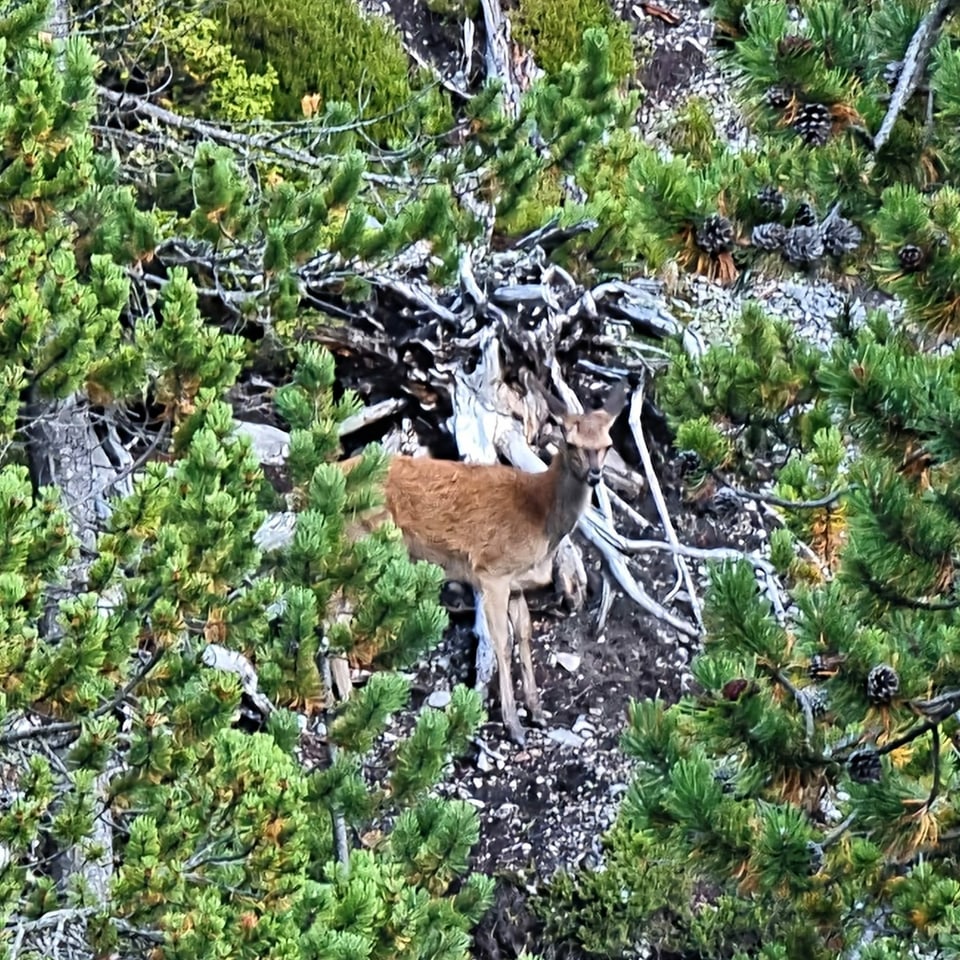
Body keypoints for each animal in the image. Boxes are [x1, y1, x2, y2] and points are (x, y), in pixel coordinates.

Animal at [342, 378, 628, 748]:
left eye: (608, 444)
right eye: (570, 441)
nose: (594, 475)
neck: (541, 520)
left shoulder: (517, 583)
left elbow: (524, 636)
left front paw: (536, 711)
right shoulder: (492, 572)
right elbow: (501, 644)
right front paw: (514, 725)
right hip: (359, 540)